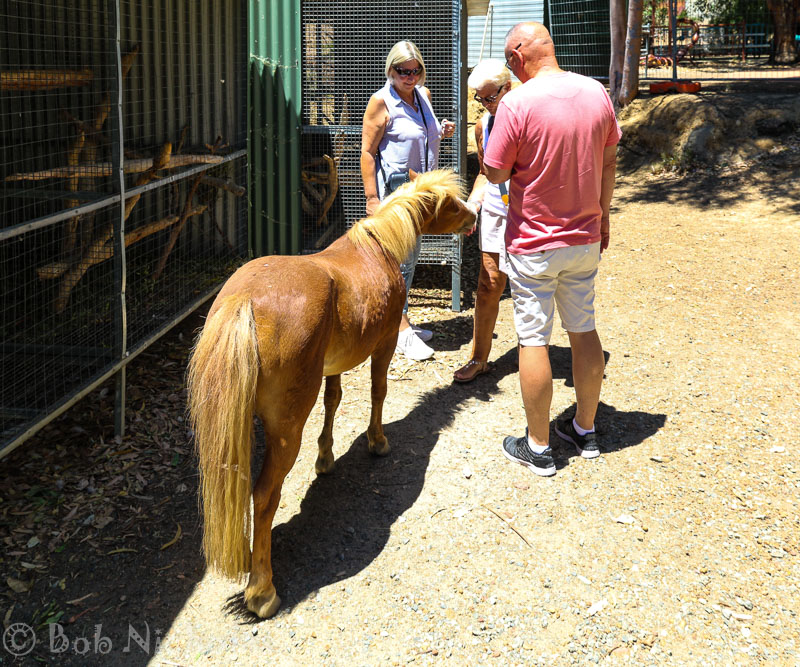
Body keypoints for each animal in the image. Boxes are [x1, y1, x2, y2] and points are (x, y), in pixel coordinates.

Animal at [187, 169, 477, 618]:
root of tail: (243, 300)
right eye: (449, 203)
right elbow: (378, 391)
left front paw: (326, 458)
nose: (474, 216)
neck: (378, 249)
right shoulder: (384, 343)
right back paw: (262, 591)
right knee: (264, 496)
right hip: (285, 430)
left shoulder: (333, 364)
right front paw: (377, 442)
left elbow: (334, 400)